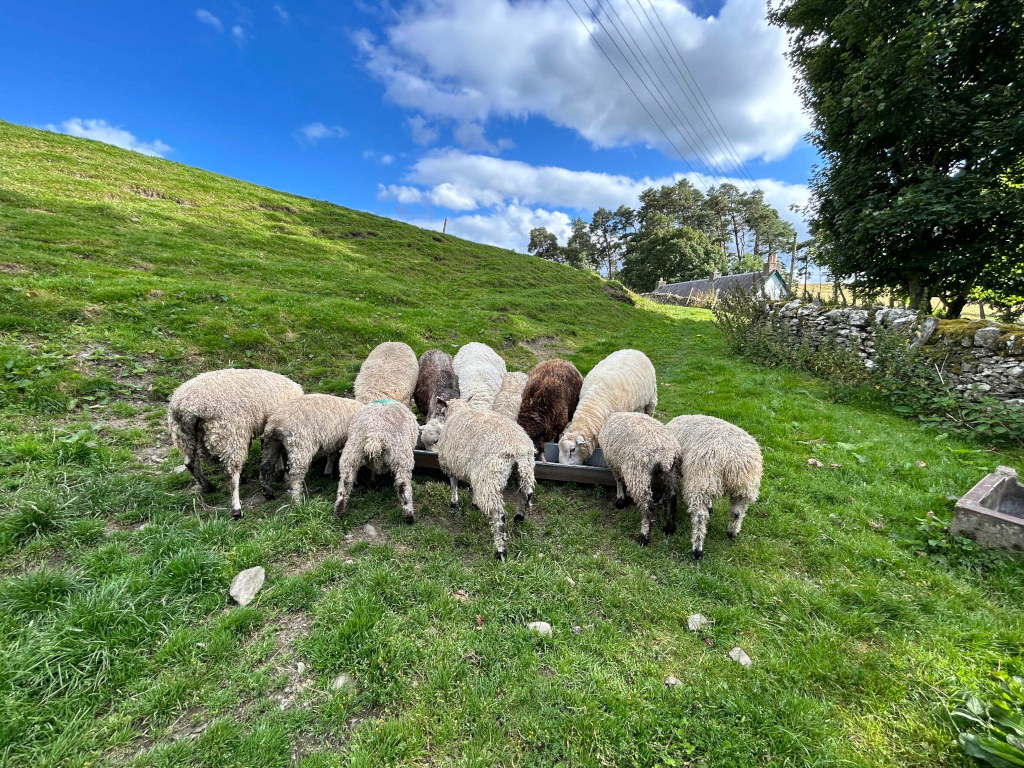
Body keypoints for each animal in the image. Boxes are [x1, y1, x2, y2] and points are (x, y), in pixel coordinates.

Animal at [168, 368, 303, 518]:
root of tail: (189, 407)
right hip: (231, 433)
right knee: (231, 472)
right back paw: (236, 509)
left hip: (183, 434)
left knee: (190, 462)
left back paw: (208, 486)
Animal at [420, 398, 535, 561]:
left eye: (442, 412)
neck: (458, 411)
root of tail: (519, 450)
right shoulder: (472, 470)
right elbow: (471, 487)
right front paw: (473, 503)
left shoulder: (451, 464)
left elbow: (453, 484)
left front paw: (454, 503)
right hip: (521, 472)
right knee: (526, 495)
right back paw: (519, 517)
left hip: (490, 477)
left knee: (499, 515)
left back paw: (500, 551)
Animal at [598, 412, 682, 547]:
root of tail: (666, 456)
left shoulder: (612, 461)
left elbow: (619, 480)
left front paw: (620, 499)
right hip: (672, 473)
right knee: (672, 499)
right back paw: (669, 528)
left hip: (638, 474)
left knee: (648, 506)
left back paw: (643, 536)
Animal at [665, 415, 763, 560]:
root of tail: (733, 462)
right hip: (745, 489)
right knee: (737, 513)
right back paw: (732, 533)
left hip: (700, 480)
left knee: (700, 516)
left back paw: (697, 550)